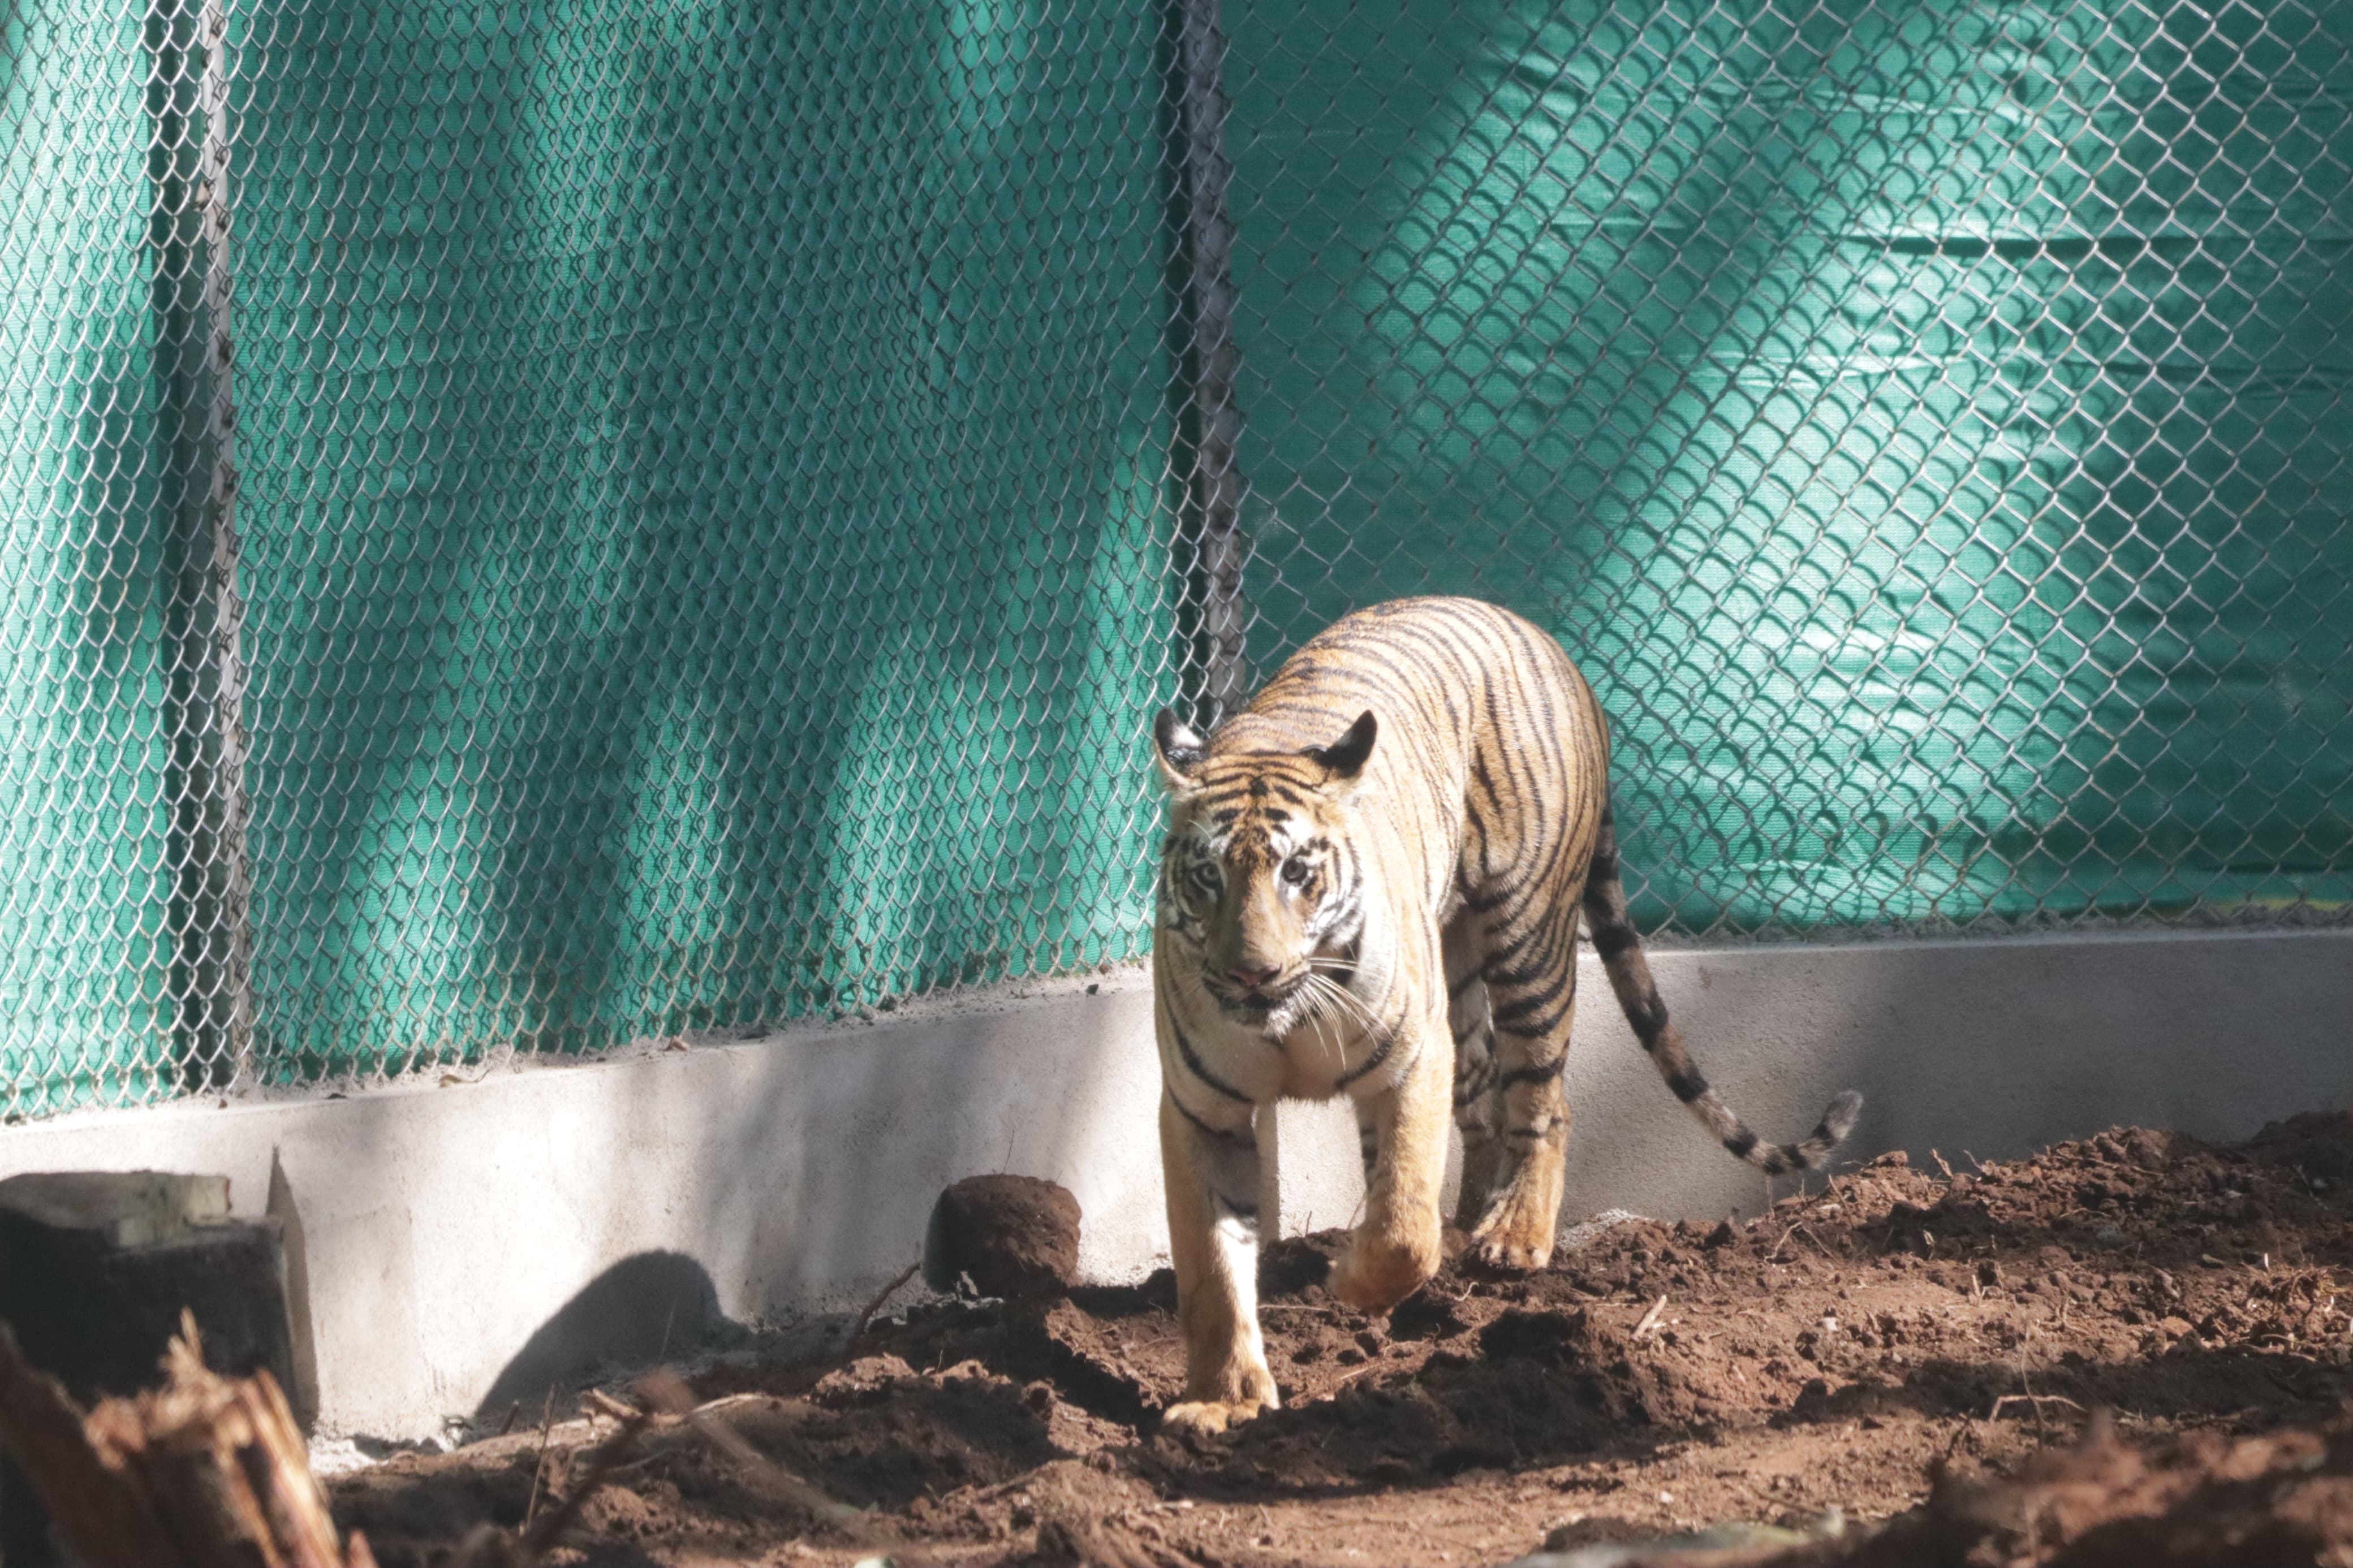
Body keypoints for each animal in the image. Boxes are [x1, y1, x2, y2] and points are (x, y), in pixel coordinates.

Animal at [1148, 594, 1863, 1429]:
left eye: (1297, 871)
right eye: (1206, 877)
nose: (1252, 973)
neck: (1289, 1019)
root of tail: (1531, 628)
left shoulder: (1411, 1061)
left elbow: (1402, 1225)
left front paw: (1351, 1280)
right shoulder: (1200, 1111)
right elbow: (1213, 1268)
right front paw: (1222, 1400)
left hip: (1528, 939)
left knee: (1543, 1103)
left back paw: (1515, 1237)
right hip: (1457, 981)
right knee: (1482, 1106)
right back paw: (1470, 1224)